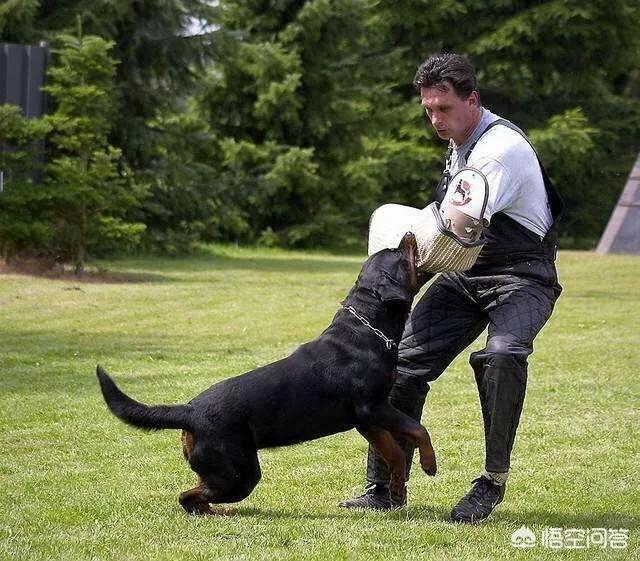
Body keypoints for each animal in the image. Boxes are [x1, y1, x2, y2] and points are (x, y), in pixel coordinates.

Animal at [97, 231, 438, 512]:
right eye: (398, 253)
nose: (408, 233)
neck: (369, 327)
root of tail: (189, 410)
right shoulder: (372, 407)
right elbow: (418, 429)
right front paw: (430, 464)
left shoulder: (367, 420)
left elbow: (394, 452)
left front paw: (397, 490)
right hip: (239, 473)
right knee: (188, 496)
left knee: (196, 492)